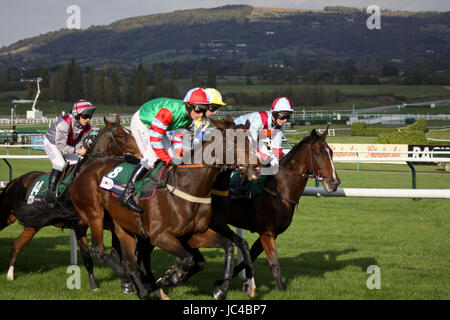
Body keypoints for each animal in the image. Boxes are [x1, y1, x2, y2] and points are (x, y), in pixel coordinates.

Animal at [3, 116, 141, 292]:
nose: (141, 155)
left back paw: (10, 274)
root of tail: (16, 180)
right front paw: (95, 285)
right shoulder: (79, 226)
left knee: (16, 244)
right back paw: (9, 274)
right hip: (13, 217)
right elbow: (88, 257)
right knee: (15, 243)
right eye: (121, 135)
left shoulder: (107, 221)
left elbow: (119, 251)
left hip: (32, 224)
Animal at [62, 118, 260, 300]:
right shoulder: (160, 236)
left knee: (131, 261)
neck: (188, 186)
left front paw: (221, 289)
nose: (257, 166)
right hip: (94, 215)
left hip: (122, 225)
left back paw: (143, 289)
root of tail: (86, 169)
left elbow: (227, 247)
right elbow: (188, 259)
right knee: (100, 251)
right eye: (235, 141)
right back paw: (130, 282)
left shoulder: (194, 234)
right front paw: (171, 277)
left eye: (252, 139)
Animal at [225, 127, 342, 290]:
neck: (279, 190)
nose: (334, 183)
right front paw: (280, 290)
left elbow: (250, 257)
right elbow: (275, 264)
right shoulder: (267, 232)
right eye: (318, 152)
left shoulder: (270, 233)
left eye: (331, 152)